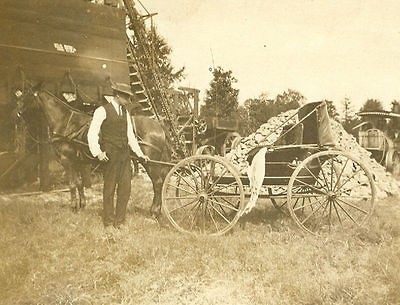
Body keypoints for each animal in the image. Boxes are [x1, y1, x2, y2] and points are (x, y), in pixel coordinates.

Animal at [17, 83, 171, 216]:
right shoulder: (77, 161)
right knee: (162, 181)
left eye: (27, 95)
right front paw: (82, 205)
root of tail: (159, 125)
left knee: (157, 183)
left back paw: (154, 211)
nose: (18, 112)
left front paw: (73, 207)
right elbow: (79, 183)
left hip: (150, 163)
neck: (65, 122)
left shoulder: (66, 160)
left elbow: (72, 184)